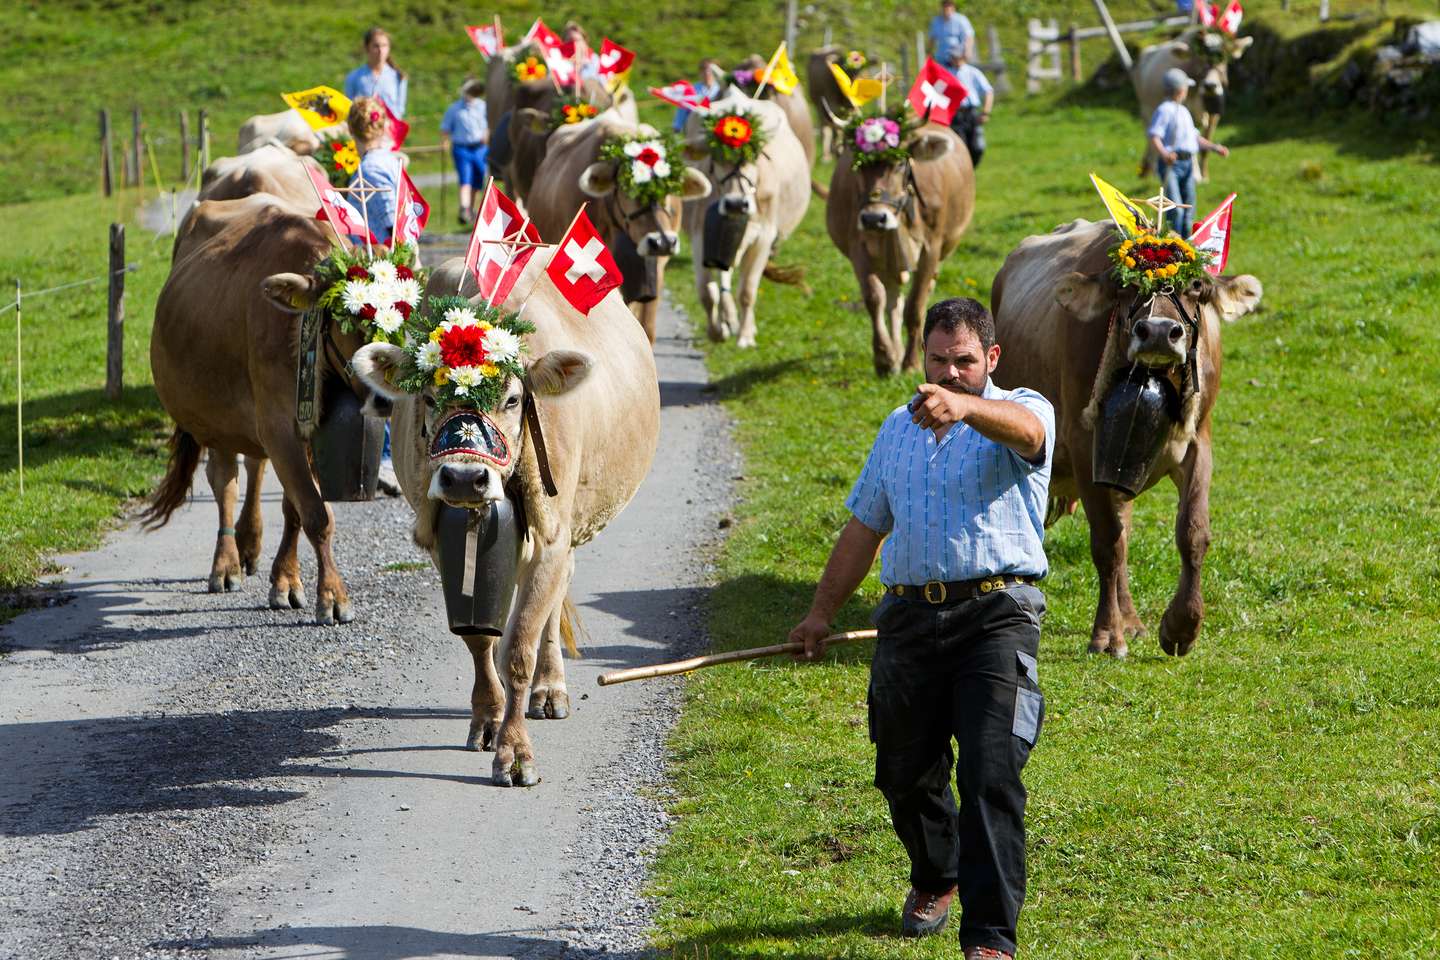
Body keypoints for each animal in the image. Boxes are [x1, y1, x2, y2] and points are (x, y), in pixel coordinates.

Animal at [148, 198, 377, 627]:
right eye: (349, 319)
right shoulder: (278, 425)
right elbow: (317, 515)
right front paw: (333, 596)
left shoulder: (303, 432)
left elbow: (295, 510)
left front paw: (286, 580)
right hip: (213, 416)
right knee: (225, 482)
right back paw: (226, 565)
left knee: (254, 469)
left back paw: (249, 544)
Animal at [348, 254, 662, 788]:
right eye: (428, 399)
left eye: (513, 400)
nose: (462, 478)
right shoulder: (444, 545)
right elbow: (480, 638)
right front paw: (489, 719)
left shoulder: (552, 534)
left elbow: (521, 646)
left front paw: (516, 752)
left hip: (566, 528)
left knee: (552, 606)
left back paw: (549, 689)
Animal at [990, 218, 1261, 656]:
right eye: (1124, 284)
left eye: (1196, 285)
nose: (1158, 332)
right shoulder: (1086, 447)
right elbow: (1106, 542)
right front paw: (1106, 634)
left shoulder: (1197, 442)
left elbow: (1192, 532)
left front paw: (1182, 627)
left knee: (1127, 530)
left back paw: (1133, 620)